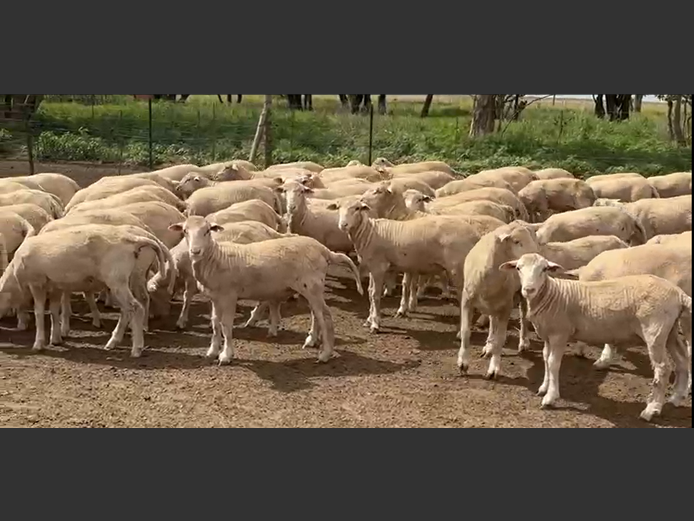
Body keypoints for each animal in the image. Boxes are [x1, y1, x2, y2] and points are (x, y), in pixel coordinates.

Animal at [0, 224, 173, 358]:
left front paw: (38, 344)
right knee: (127, 310)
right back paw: (113, 342)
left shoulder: (37, 283)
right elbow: (54, 312)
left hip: (117, 279)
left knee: (136, 308)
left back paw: (136, 349)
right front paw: (56, 338)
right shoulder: (55, 286)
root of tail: (134, 240)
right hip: (126, 279)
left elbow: (39, 312)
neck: (15, 278)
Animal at [148, 221, 291, 331]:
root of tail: (271, 232)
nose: (152, 317)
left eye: (151, 298)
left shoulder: (192, 278)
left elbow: (187, 296)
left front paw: (181, 320)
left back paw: (253, 319)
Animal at [169, 216, 363, 364]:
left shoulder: (229, 296)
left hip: (312, 286)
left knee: (326, 316)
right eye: (185, 231)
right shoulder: (215, 298)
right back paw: (311, 340)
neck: (216, 258)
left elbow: (226, 325)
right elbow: (215, 324)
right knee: (316, 314)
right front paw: (212, 351)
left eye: (207, 231)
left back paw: (325, 354)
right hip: (310, 288)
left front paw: (226, 355)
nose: (195, 251)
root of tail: (324, 250)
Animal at [457, 221, 542, 378]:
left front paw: (493, 369)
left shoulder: (506, 306)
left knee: (523, 316)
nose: (537, 257)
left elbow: (501, 339)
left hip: (520, 293)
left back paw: (523, 342)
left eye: (532, 239)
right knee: (492, 319)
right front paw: (463, 363)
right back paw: (489, 345)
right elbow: (465, 331)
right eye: (516, 241)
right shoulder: (466, 300)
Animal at [499, 252, 691, 421]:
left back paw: (651, 410)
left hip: (654, 331)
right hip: (670, 331)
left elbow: (553, 363)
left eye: (544, 269)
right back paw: (675, 398)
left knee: (663, 368)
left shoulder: (559, 334)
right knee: (682, 360)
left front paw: (550, 397)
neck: (552, 296)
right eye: (518, 268)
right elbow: (546, 359)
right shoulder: (547, 335)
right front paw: (543, 388)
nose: (529, 289)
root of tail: (679, 294)